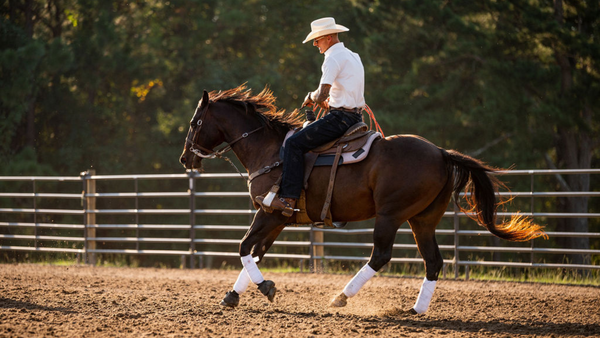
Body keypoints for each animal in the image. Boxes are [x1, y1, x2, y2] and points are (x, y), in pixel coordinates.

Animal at [177, 84, 544, 314]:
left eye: (196, 122)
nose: (185, 159)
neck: (270, 151)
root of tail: (441, 152)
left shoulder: (269, 213)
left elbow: (243, 247)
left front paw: (265, 288)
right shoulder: (279, 218)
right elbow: (255, 251)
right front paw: (232, 296)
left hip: (390, 215)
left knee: (380, 256)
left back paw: (340, 297)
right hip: (423, 219)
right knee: (433, 261)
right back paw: (415, 309)